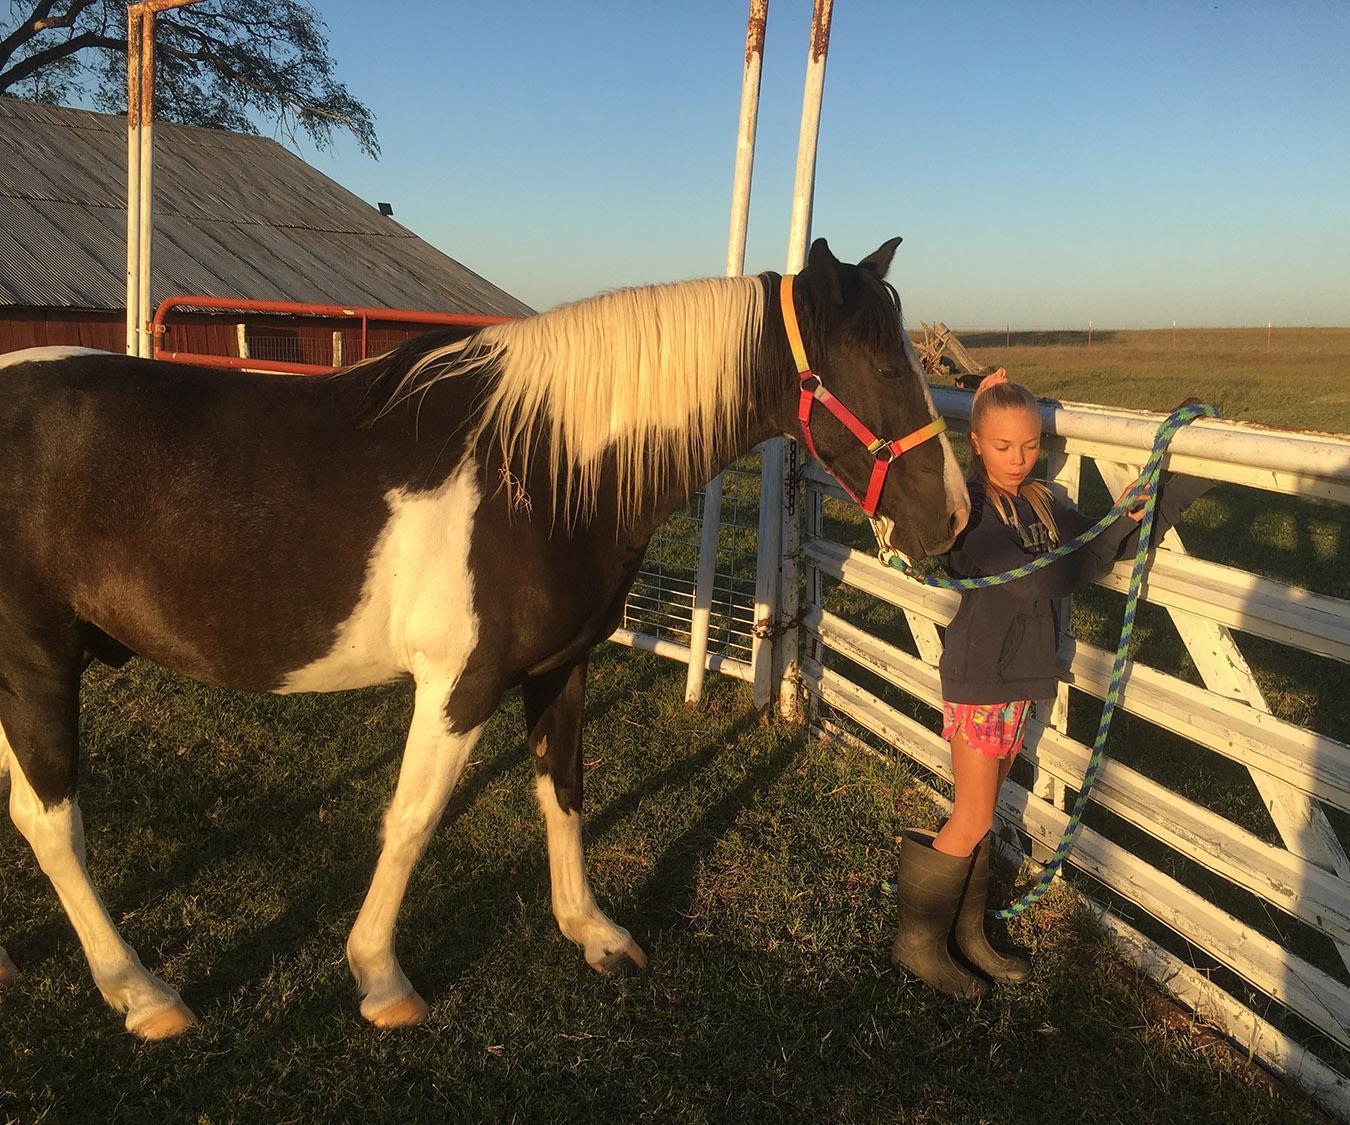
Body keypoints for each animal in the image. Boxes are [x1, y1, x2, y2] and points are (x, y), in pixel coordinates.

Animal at [0, 237, 969, 1038]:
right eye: (879, 361)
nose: (953, 518)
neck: (543, 463)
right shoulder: (459, 684)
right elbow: (413, 818)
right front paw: (380, 977)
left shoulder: (561, 667)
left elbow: (564, 792)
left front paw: (593, 933)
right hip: (36, 663)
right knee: (51, 823)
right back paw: (142, 991)